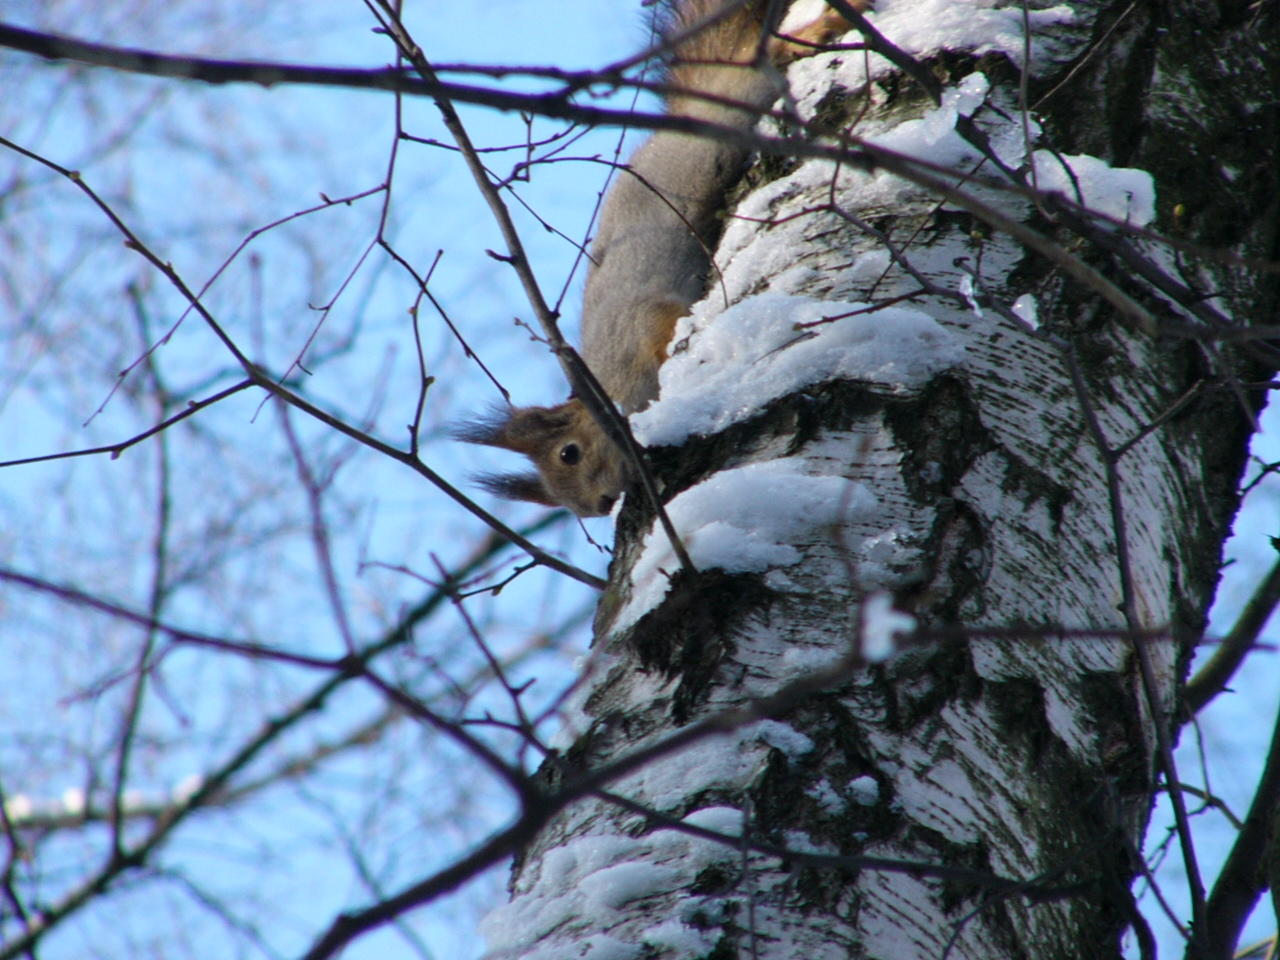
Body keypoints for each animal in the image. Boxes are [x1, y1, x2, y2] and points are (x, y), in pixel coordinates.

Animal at [455, 0, 865, 519]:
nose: (600, 505)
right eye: (565, 505)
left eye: (568, 453)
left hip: (734, 102)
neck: (608, 378)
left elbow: (666, 324)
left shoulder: (638, 320)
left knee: (759, 59)